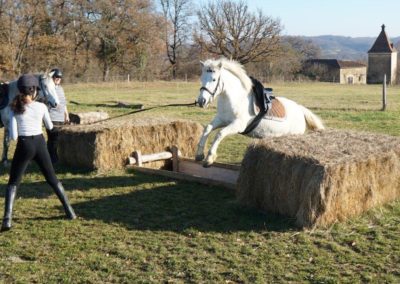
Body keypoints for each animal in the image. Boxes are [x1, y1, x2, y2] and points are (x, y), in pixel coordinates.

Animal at [196, 58, 324, 168]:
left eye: (213, 79)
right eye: (202, 79)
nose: (201, 101)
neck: (236, 99)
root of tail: (300, 109)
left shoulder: (238, 125)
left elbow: (220, 133)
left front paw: (209, 158)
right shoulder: (221, 119)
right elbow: (207, 128)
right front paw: (199, 154)